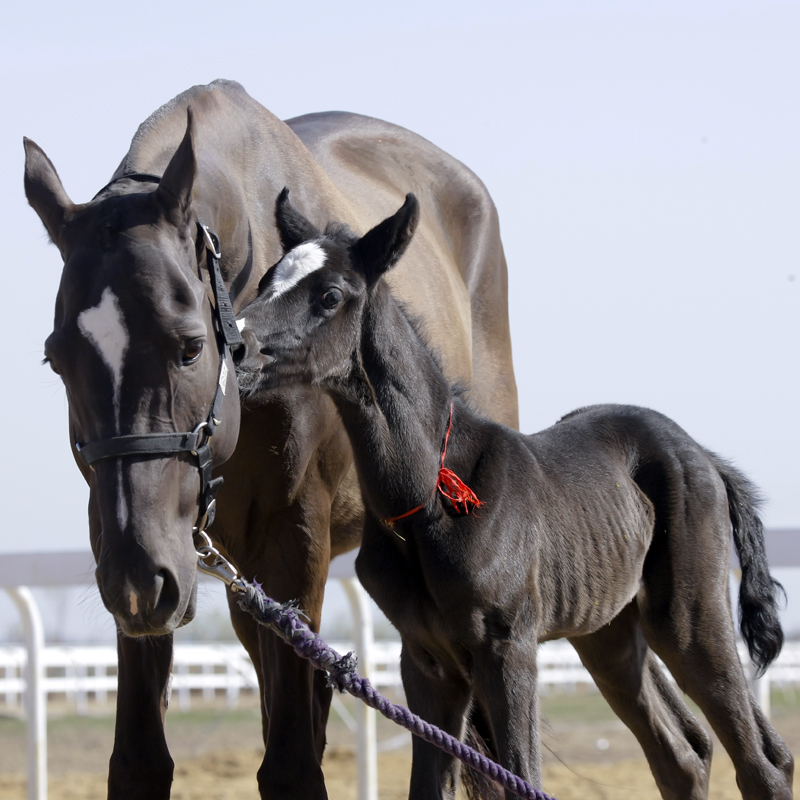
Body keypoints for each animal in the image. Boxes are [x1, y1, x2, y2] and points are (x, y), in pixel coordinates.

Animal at [25, 76, 520, 800]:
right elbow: (141, 760)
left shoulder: (294, 536)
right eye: (57, 358)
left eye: (188, 346)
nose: (140, 580)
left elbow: (292, 763)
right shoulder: (138, 547)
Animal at [234, 194, 792, 800]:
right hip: (609, 633)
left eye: (331, 295)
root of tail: (705, 456)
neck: (431, 498)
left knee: (762, 762)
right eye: (265, 279)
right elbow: (431, 786)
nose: (235, 344)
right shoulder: (426, 660)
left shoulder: (507, 647)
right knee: (683, 754)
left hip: (689, 617)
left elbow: (524, 775)